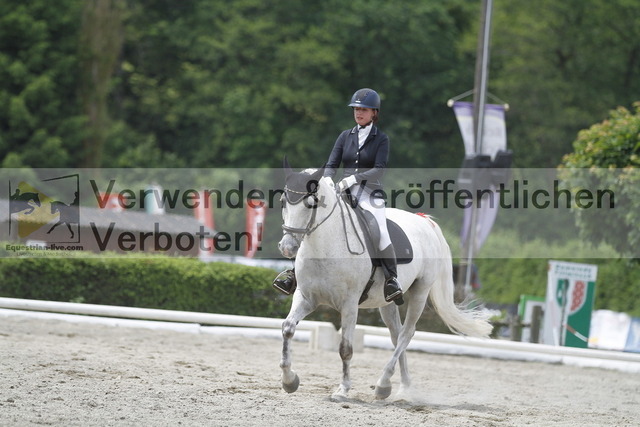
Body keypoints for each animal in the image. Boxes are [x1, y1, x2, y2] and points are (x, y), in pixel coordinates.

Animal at [277, 161, 492, 401]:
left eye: (310, 204)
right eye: (283, 202)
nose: (287, 248)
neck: (325, 247)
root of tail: (425, 222)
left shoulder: (349, 304)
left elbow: (345, 348)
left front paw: (343, 390)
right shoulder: (306, 297)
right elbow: (287, 328)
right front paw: (289, 380)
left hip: (420, 292)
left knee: (406, 334)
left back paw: (383, 383)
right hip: (386, 301)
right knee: (396, 335)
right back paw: (403, 387)